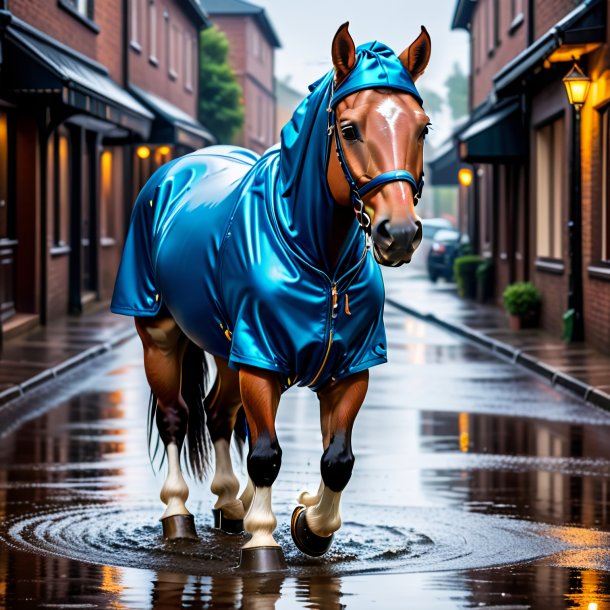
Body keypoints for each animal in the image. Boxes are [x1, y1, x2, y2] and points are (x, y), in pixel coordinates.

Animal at [111, 20, 430, 568]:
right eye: (350, 129)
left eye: (423, 127)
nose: (400, 233)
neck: (319, 260)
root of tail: (176, 169)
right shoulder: (260, 363)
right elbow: (265, 454)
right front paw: (264, 540)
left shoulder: (351, 368)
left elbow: (337, 459)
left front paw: (310, 522)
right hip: (160, 336)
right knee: (177, 418)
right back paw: (179, 517)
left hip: (227, 351)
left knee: (217, 414)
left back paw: (228, 503)